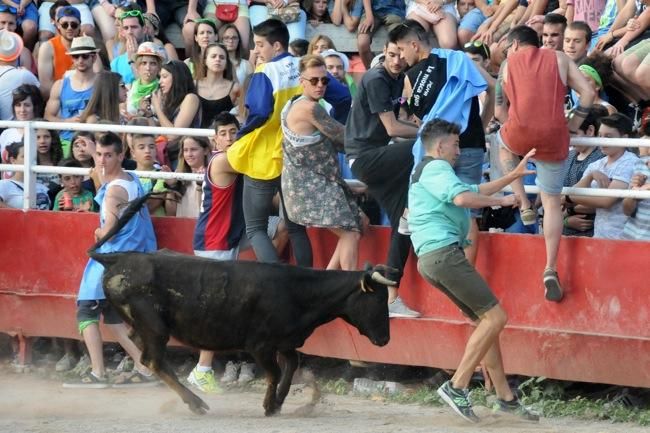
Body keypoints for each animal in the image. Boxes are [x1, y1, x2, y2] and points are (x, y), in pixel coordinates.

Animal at [86, 193, 390, 416]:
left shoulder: (285, 341)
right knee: (153, 359)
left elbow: (292, 364)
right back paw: (196, 403)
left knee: (141, 348)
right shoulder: (260, 345)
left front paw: (281, 401)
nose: (386, 339)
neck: (297, 290)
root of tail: (118, 258)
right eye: (377, 299)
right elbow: (276, 371)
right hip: (155, 327)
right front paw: (269, 405)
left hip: (144, 326)